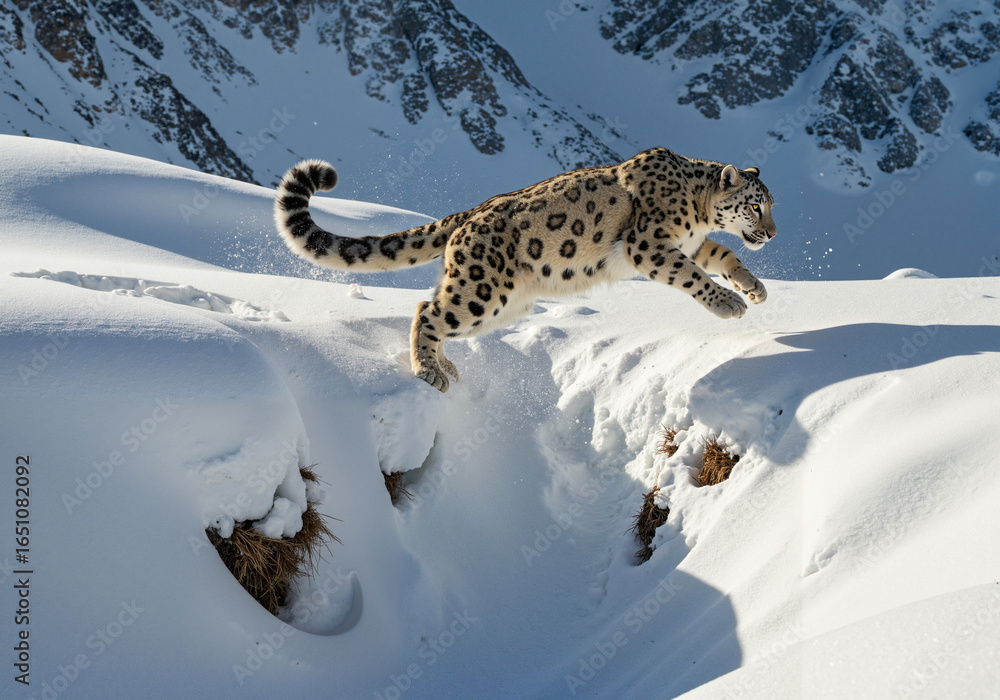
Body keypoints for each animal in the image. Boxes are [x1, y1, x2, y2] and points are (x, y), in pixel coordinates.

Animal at [274, 147, 776, 392]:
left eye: (770, 204)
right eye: (756, 205)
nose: (772, 233)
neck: (698, 213)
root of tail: (469, 215)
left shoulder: (694, 243)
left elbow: (724, 257)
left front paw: (754, 289)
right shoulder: (649, 243)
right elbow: (691, 274)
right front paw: (729, 304)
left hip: (500, 303)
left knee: (432, 307)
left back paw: (444, 363)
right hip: (480, 291)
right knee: (426, 310)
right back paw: (429, 371)